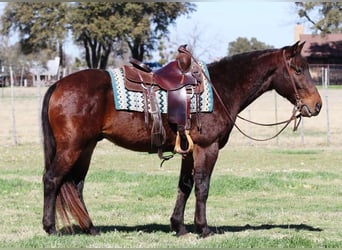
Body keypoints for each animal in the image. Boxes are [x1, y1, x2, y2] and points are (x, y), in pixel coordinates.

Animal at [41, 41, 322, 238]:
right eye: (298, 70)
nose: (317, 105)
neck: (221, 88)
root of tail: (58, 85)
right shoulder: (207, 148)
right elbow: (202, 188)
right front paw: (203, 228)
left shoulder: (189, 150)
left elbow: (184, 186)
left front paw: (179, 227)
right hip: (72, 147)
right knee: (52, 180)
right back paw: (51, 228)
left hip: (86, 147)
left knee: (76, 185)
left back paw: (90, 228)